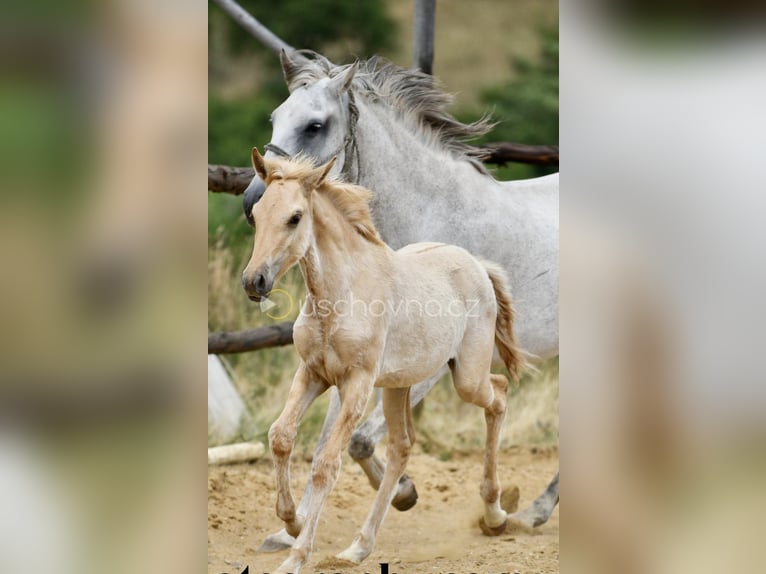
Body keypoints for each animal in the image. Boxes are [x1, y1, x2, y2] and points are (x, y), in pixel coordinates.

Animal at [243, 151, 524, 572]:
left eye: (295, 217)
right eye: (257, 214)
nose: (254, 281)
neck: (340, 294)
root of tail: (476, 263)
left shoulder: (356, 383)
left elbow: (326, 464)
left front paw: (296, 556)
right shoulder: (312, 374)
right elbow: (280, 437)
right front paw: (291, 522)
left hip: (466, 377)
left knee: (500, 394)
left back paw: (494, 514)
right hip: (398, 384)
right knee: (401, 447)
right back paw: (359, 547)